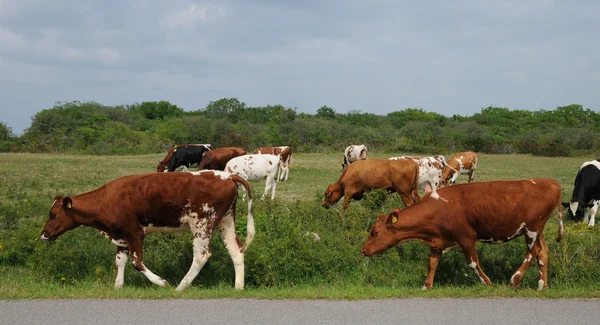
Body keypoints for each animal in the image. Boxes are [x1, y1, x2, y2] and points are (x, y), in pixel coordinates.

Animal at [39, 170, 255, 292]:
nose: (44, 234)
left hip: (202, 223)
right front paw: (118, 286)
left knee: (201, 255)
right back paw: (238, 287)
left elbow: (137, 262)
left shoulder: (134, 233)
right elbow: (120, 261)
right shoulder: (121, 235)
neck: (109, 199)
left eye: (53, 214)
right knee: (236, 250)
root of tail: (226, 176)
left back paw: (180, 287)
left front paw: (161, 282)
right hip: (225, 221)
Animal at [364, 178, 564, 290]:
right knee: (542, 251)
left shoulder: (466, 237)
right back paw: (542, 285)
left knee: (532, 252)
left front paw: (487, 283)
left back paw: (514, 280)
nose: (364, 250)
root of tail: (550, 182)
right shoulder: (437, 241)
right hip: (537, 230)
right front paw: (426, 286)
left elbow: (473, 263)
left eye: (375, 232)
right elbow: (432, 264)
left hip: (532, 228)